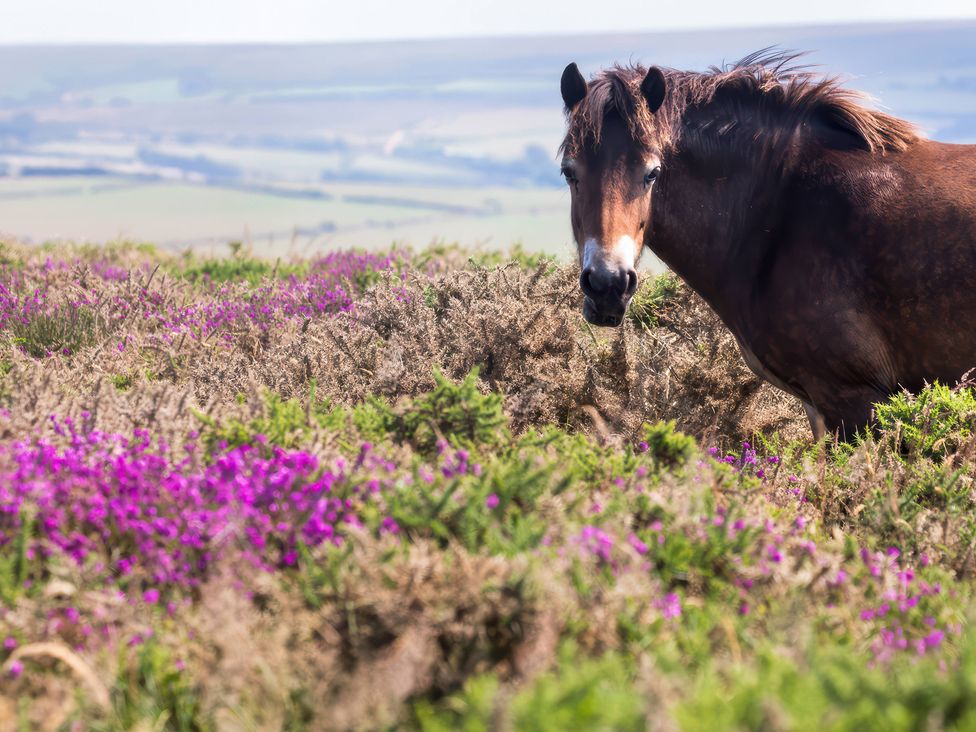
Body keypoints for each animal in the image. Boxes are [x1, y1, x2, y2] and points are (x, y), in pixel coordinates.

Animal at [559, 50, 976, 440]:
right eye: (568, 172)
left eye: (653, 173)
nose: (608, 285)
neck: (779, 211)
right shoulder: (817, 406)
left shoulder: (853, 398)